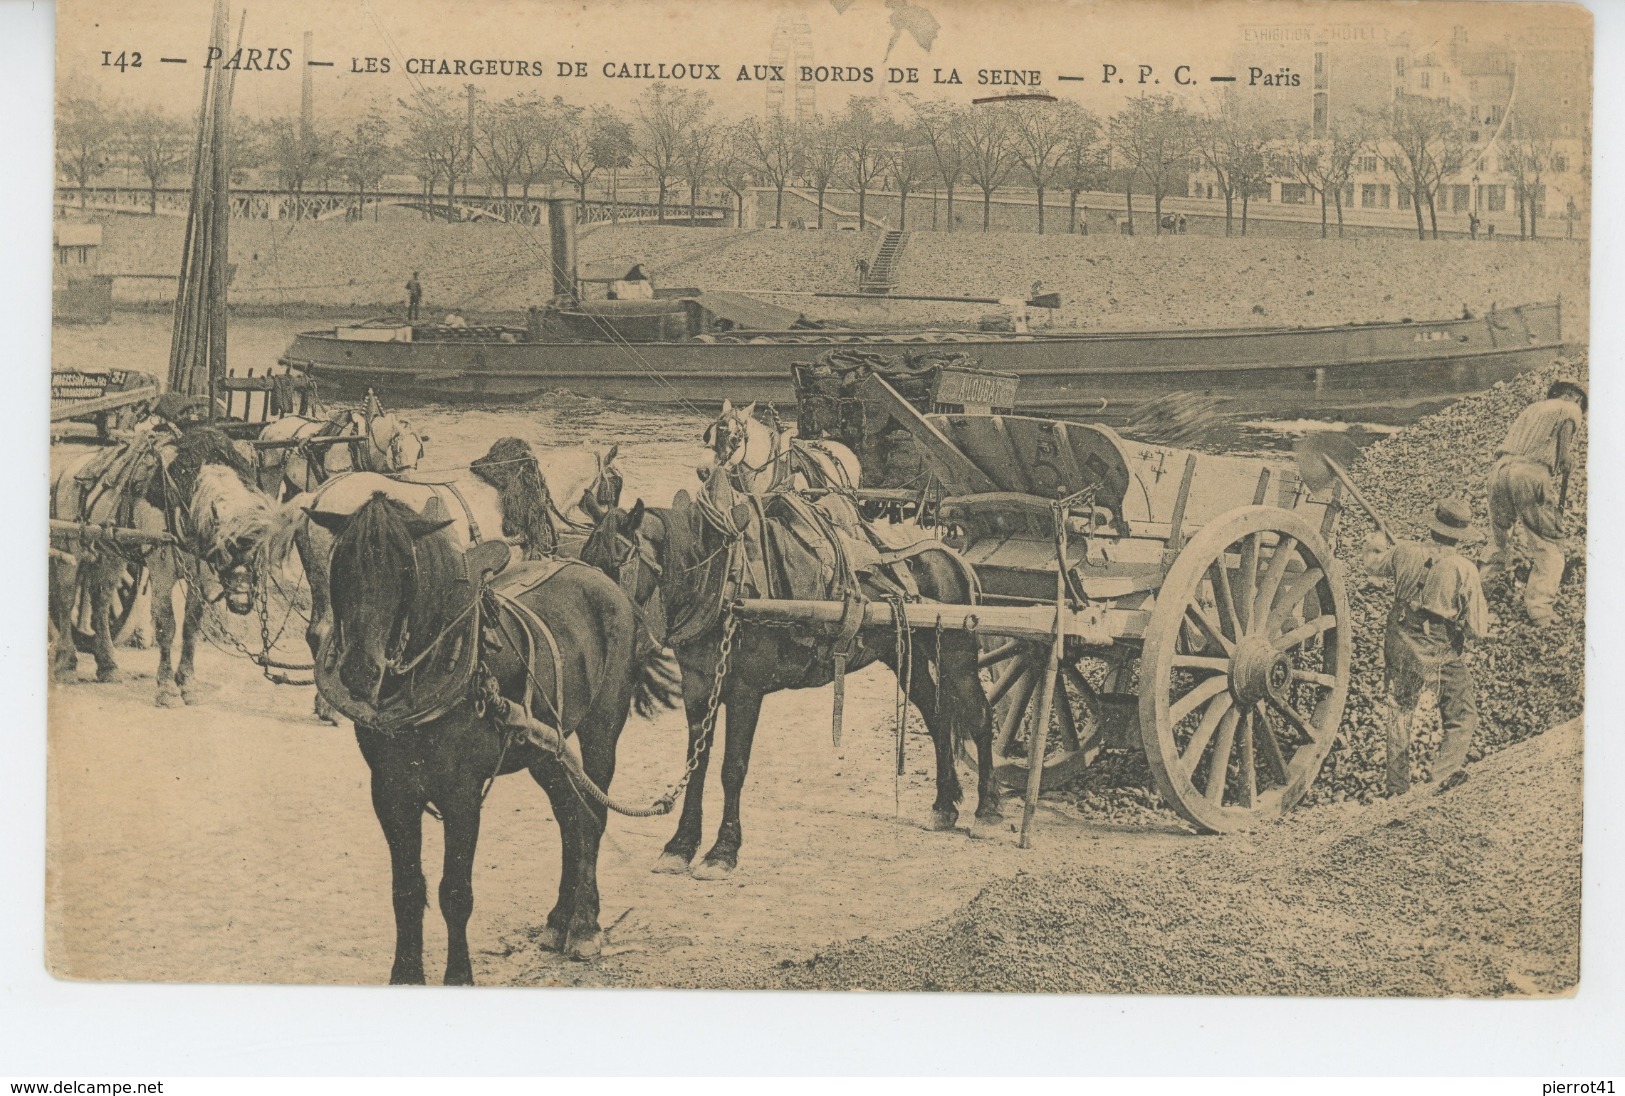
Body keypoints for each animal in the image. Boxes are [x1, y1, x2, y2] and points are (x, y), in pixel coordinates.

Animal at [307, 491, 676, 975]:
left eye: (405, 569)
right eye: (341, 566)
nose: (358, 670)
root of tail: (602, 580)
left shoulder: (462, 791)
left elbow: (454, 893)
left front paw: (459, 977)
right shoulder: (389, 790)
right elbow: (406, 890)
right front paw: (406, 975)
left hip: (602, 729)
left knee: (592, 816)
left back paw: (583, 926)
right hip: (544, 748)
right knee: (569, 816)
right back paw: (559, 920)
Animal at [578, 474, 994, 878]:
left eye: (616, 563)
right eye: (584, 559)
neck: (723, 582)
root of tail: (950, 555)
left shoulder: (745, 691)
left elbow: (733, 769)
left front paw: (722, 852)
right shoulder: (698, 687)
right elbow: (696, 766)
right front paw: (680, 846)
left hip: (957, 656)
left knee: (979, 716)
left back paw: (987, 810)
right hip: (903, 653)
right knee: (937, 717)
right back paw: (944, 805)